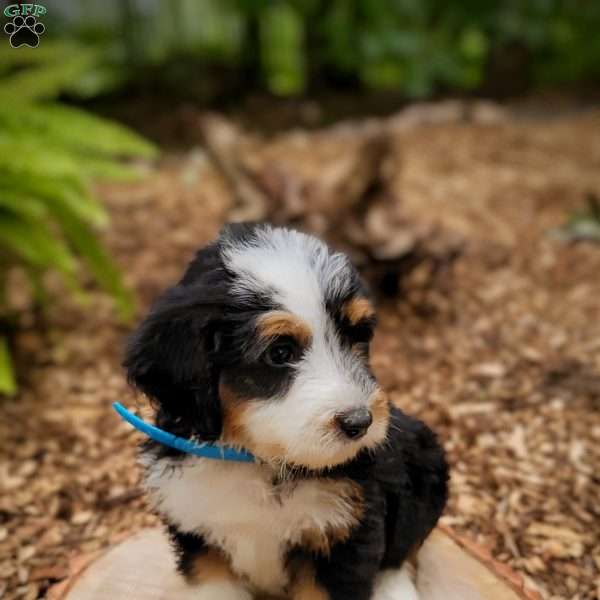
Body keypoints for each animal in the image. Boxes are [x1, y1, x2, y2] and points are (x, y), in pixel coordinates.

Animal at [125, 224, 446, 600]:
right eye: (280, 353)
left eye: (358, 337)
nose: (360, 422)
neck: (256, 459)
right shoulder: (197, 529)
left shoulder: (343, 535)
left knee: (404, 550)